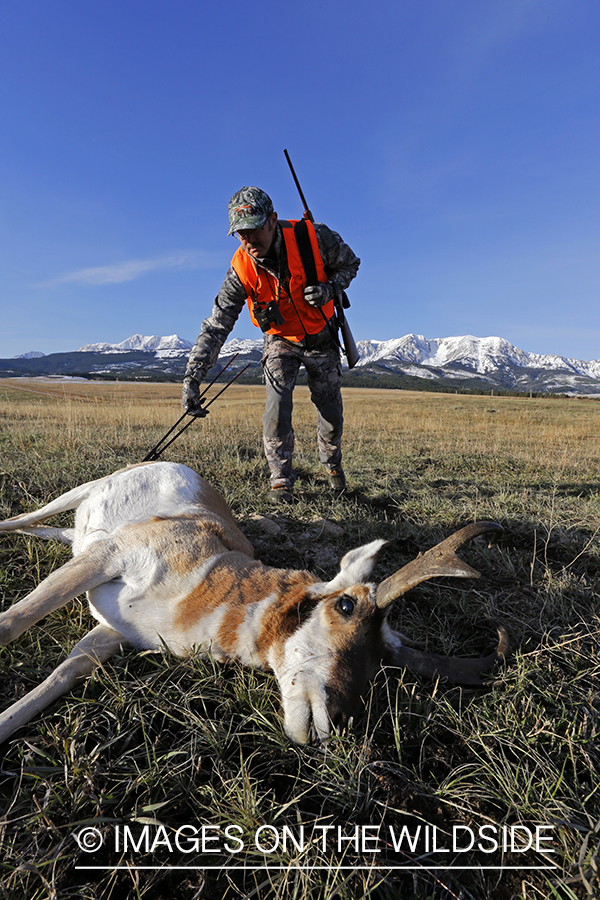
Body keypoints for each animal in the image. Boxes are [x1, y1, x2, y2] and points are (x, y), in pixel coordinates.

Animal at [0, 464, 506, 744]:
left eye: (383, 660)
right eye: (346, 607)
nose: (342, 721)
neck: (217, 577)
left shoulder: (110, 633)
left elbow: (63, 672)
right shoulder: (108, 557)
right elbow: (12, 622)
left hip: (77, 538)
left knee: (54, 533)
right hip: (79, 499)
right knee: (24, 518)